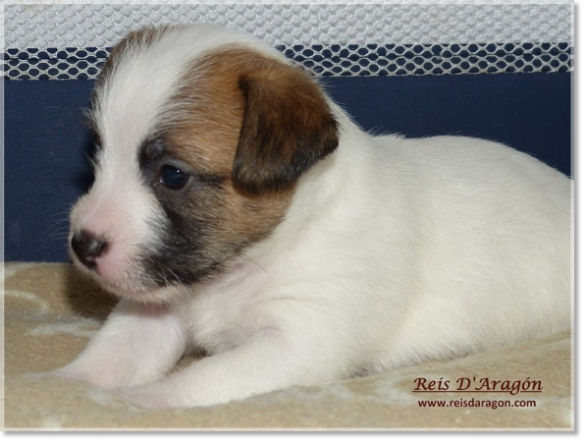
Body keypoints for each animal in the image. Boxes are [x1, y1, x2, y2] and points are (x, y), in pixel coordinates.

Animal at [58, 24, 572, 410]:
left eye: (172, 175)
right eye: (98, 154)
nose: (83, 244)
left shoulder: (299, 343)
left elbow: (197, 379)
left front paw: (138, 404)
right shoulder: (155, 313)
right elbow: (110, 354)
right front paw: (63, 386)